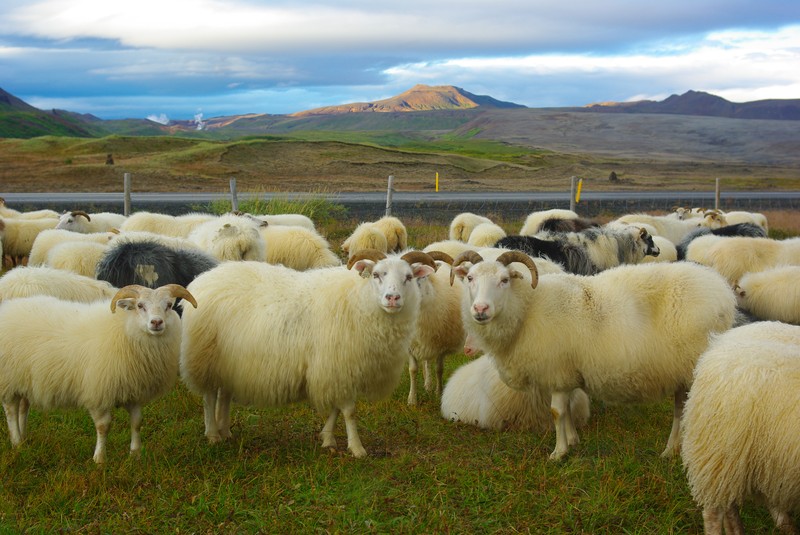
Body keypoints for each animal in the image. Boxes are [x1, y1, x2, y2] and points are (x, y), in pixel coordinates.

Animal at [0, 284, 197, 463]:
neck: (125, 330)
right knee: (10, 410)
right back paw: (17, 443)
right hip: (8, 379)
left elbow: (137, 422)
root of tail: (8, 308)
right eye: (140, 305)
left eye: (169, 305)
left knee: (23, 407)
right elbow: (104, 427)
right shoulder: (98, 392)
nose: (156, 322)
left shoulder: (133, 391)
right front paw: (100, 459)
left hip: (24, 380)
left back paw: (24, 437)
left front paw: (135, 454)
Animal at [179, 249, 436, 458]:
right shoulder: (339, 366)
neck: (360, 300)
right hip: (205, 356)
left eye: (409, 277)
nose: (392, 298)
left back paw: (225, 431)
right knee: (209, 398)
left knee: (223, 395)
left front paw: (328, 439)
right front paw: (357, 448)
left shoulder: (334, 370)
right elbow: (349, 412)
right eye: (376, 275)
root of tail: (203, 279)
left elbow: (335, 409)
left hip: (228, 362)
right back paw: (213, 435)